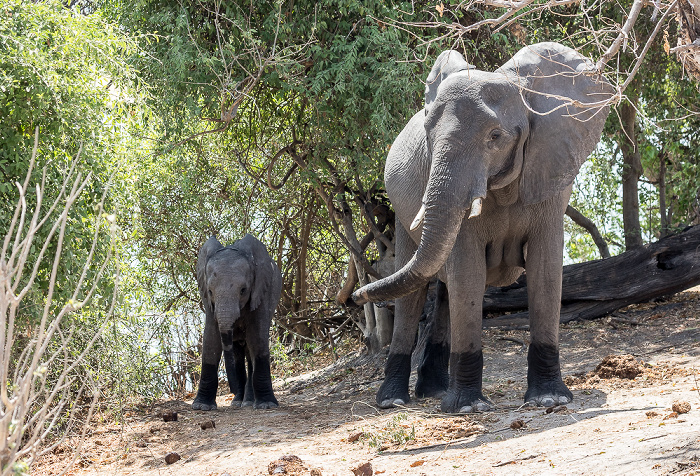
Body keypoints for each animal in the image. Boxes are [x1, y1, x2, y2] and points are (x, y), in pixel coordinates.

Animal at [191, 233, 282, 410]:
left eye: (243, 290)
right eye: (210, 291)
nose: (231, 390)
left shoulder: (261, 291)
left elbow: (257, 337)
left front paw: (267, 405)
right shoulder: (208, 302)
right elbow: (211, 339)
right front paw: (201, 407)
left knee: (250, 350)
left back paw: (247, 402)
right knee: (238, 354)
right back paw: (239, 402)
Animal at [356, 43, 612, 412]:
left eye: (495, 137)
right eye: (428, 136)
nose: (357, 295)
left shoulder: (551, 172)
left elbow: (545, 270)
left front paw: (550, 398)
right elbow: (469, 274)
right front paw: (468, 408)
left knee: (444, 291)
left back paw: (434, 392)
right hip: (403, 215)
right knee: (414, 296)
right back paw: (394, 401)